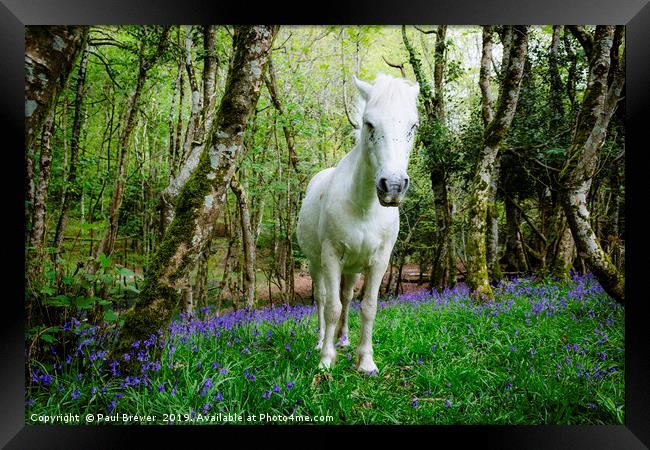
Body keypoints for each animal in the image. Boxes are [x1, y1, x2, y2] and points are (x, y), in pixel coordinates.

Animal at [296, 73, 418, 372]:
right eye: (369, 123)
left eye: (412, 126)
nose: (392, 186)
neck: (364, 206)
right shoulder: (330, 257)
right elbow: (332, 307)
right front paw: (326, 360)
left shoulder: (379, 261)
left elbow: (368, 307)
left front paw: (365, 361)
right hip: (316, 264)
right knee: (323, 299)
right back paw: (321, 341)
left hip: (351, 269)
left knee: (347, 297)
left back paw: (343, 340)